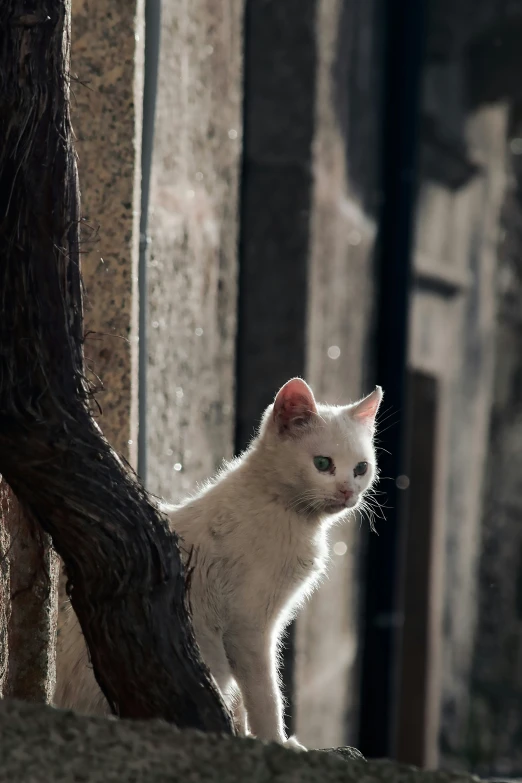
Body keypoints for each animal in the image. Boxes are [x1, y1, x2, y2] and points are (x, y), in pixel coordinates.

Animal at [53, 380, 382, 752]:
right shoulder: (247, 625)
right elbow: (265, 694)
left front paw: (245, 731)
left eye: (361, 468)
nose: (347, 491)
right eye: (323, 463)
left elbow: (245, 698)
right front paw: (275, 740)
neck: (281, 507)